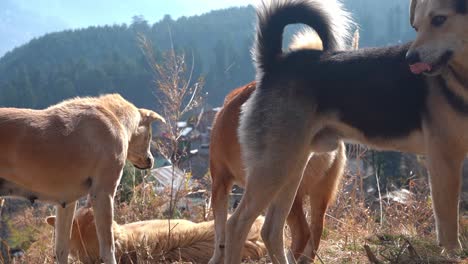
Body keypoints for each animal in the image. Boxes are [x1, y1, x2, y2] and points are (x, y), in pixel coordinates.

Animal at [0, 94, 165, 262]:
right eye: (149, 136)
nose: (151, 161)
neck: (115, 118)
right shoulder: (103, 194)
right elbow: (108, 247)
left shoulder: (66, 203)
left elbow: (61, 249)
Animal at [224, 0, 468, 264]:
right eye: (417, 26)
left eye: (439, 20)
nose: (410, 61)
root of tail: (276, 62)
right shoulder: (445, 160)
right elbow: (448, 224)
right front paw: (453, 255)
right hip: (273, 166)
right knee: (236, 224)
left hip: (292, 168)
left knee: (271, 230)